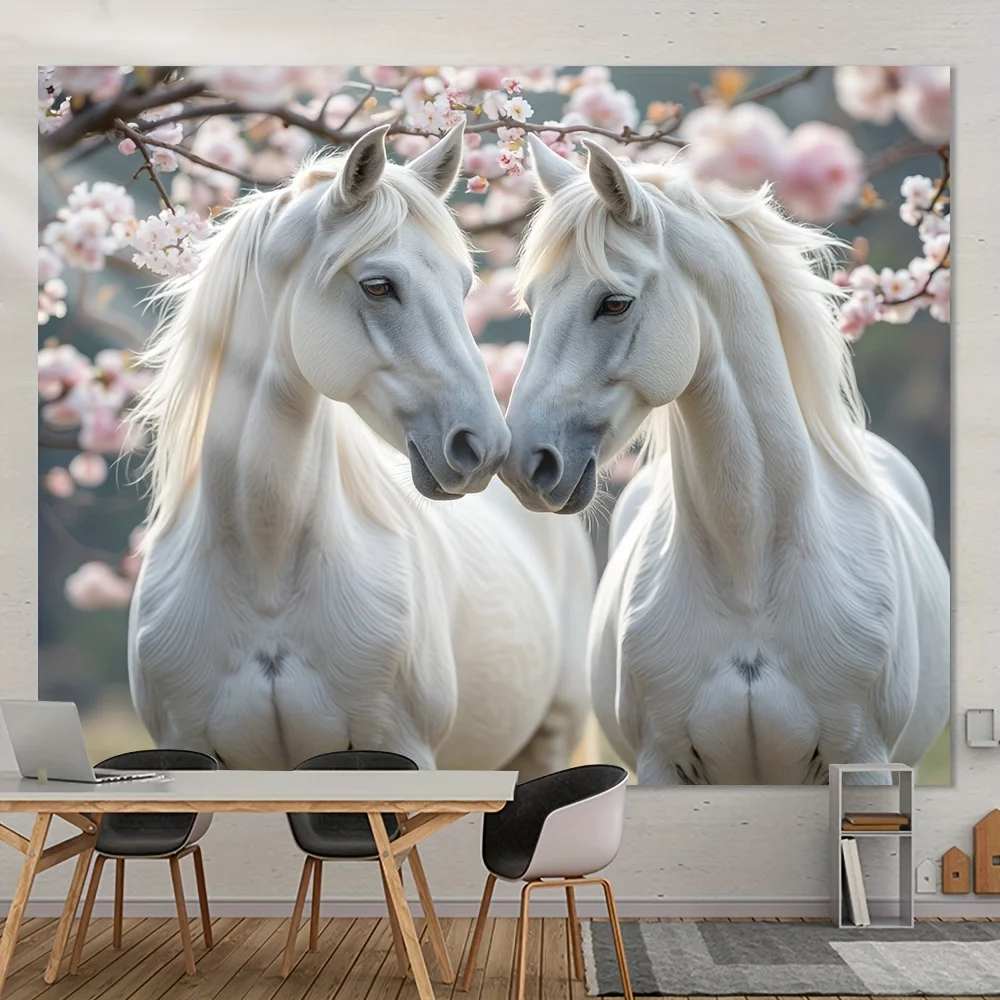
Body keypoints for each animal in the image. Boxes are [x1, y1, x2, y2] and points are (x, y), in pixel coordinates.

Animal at [125, 123, 596, 777]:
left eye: (463, 286)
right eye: (378, 286)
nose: (487, 446)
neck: (265, 575)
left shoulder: (399, 749)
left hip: (548, 740)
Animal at [500, 135, 950, 786]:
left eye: (615, 303)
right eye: (532, 304)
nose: (525, 463)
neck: (750, 579)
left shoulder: (861, 761)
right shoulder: (659, 769)